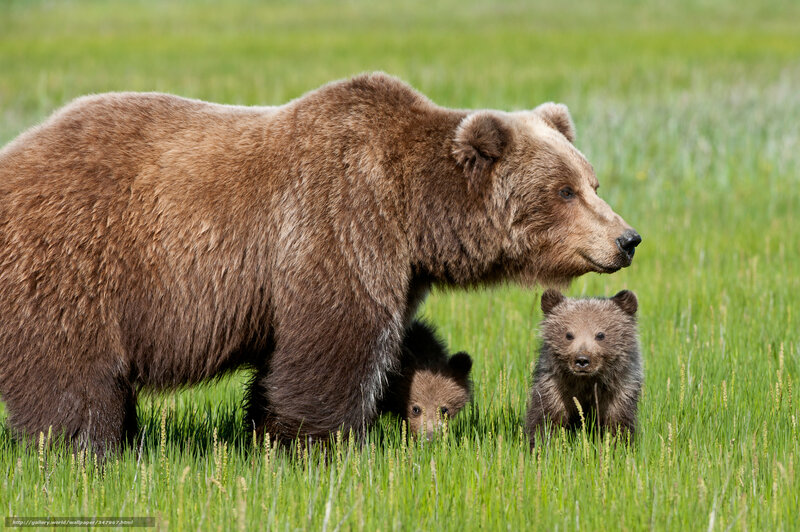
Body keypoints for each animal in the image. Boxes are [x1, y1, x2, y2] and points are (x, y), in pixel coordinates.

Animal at [525, 289, 643, 446]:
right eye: (569, 334)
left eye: (600, 335)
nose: (582, 360)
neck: (586, 382)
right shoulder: (554, 386)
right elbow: (546, 418)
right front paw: (541, 444)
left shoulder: (620, 389)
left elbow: (618, 422)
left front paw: (618, 444)